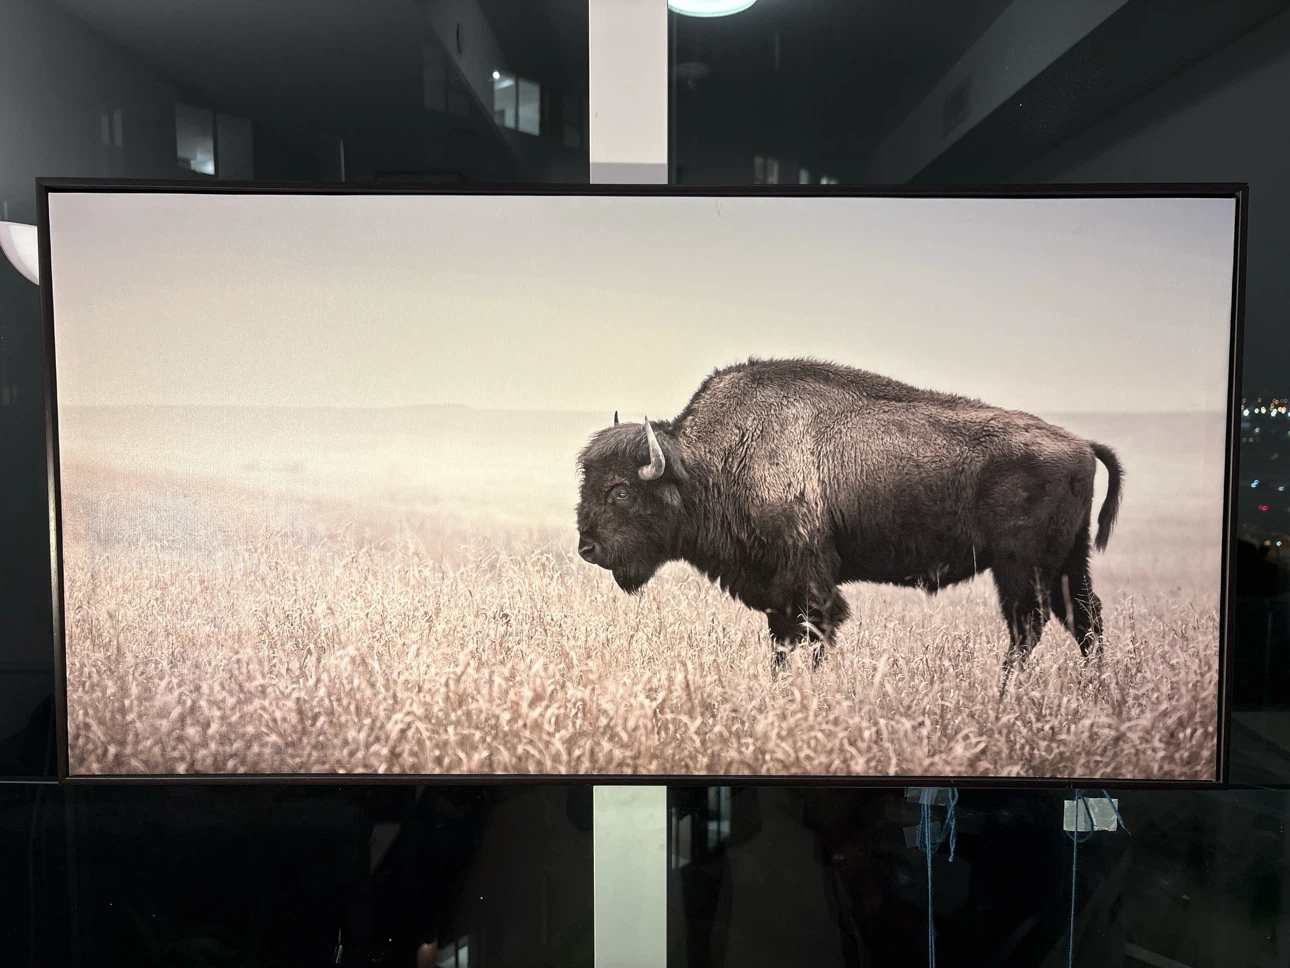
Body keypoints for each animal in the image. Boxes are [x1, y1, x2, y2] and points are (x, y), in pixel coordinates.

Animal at [575, 357, 1122, 688]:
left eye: (620, 490)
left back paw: (1006, 692)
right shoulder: (777, 589)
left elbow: (818, 630)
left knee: (1029, 625)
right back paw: (1093, 690)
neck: (708, 463)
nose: (587, 548)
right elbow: (782, 640)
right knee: (1084, 619)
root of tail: (1080, 444)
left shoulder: (809, 578)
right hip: (1067, 563)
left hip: (1020, 568)